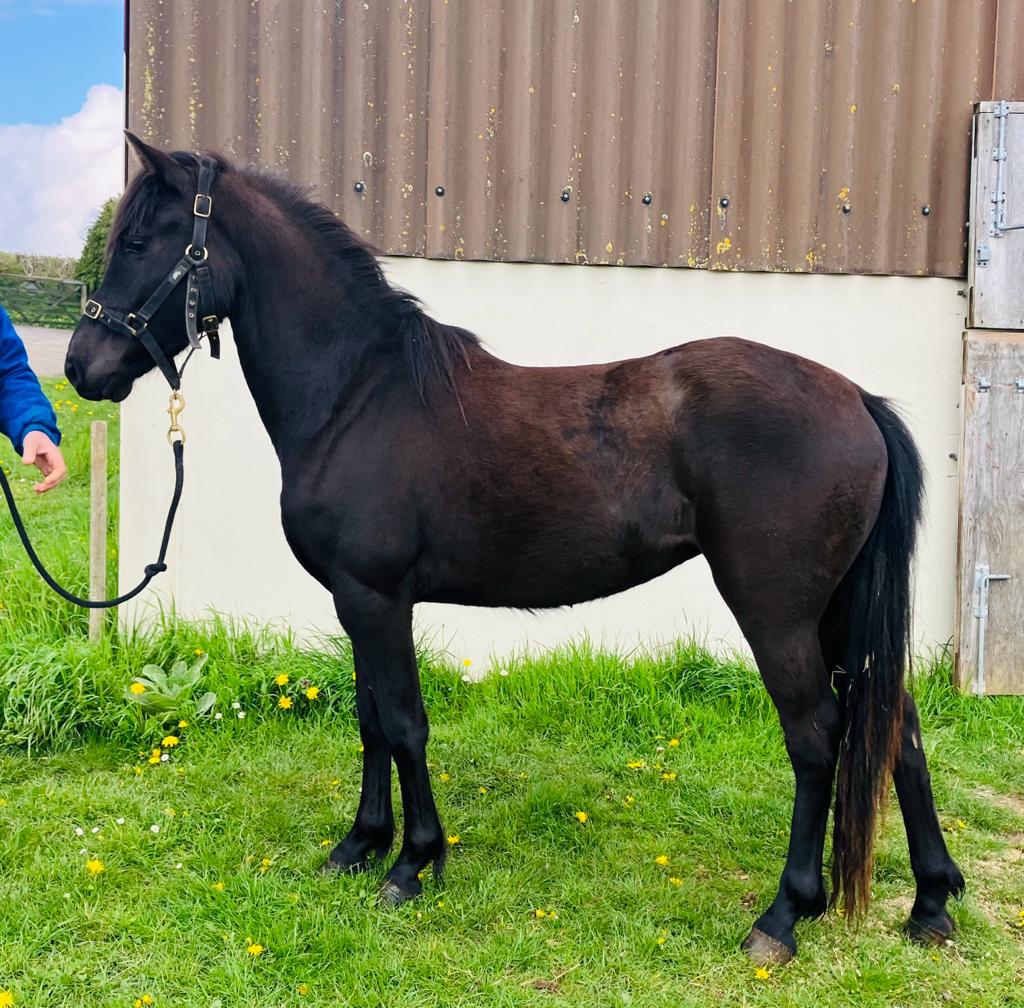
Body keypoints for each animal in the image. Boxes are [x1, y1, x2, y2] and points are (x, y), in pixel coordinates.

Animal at [61, 138, 958, 962]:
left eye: (139, 240)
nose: (80, 367)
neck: (358, 395)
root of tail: (857, 398)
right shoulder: (356, 601)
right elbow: (370, 722)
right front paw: (358, 846)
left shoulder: (376, 597)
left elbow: (403, 723)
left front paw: (412, 865)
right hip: (837, 610)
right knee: (898, 726)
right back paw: (931, 904)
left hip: (777, 612)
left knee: (816, 736)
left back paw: (782, 916)